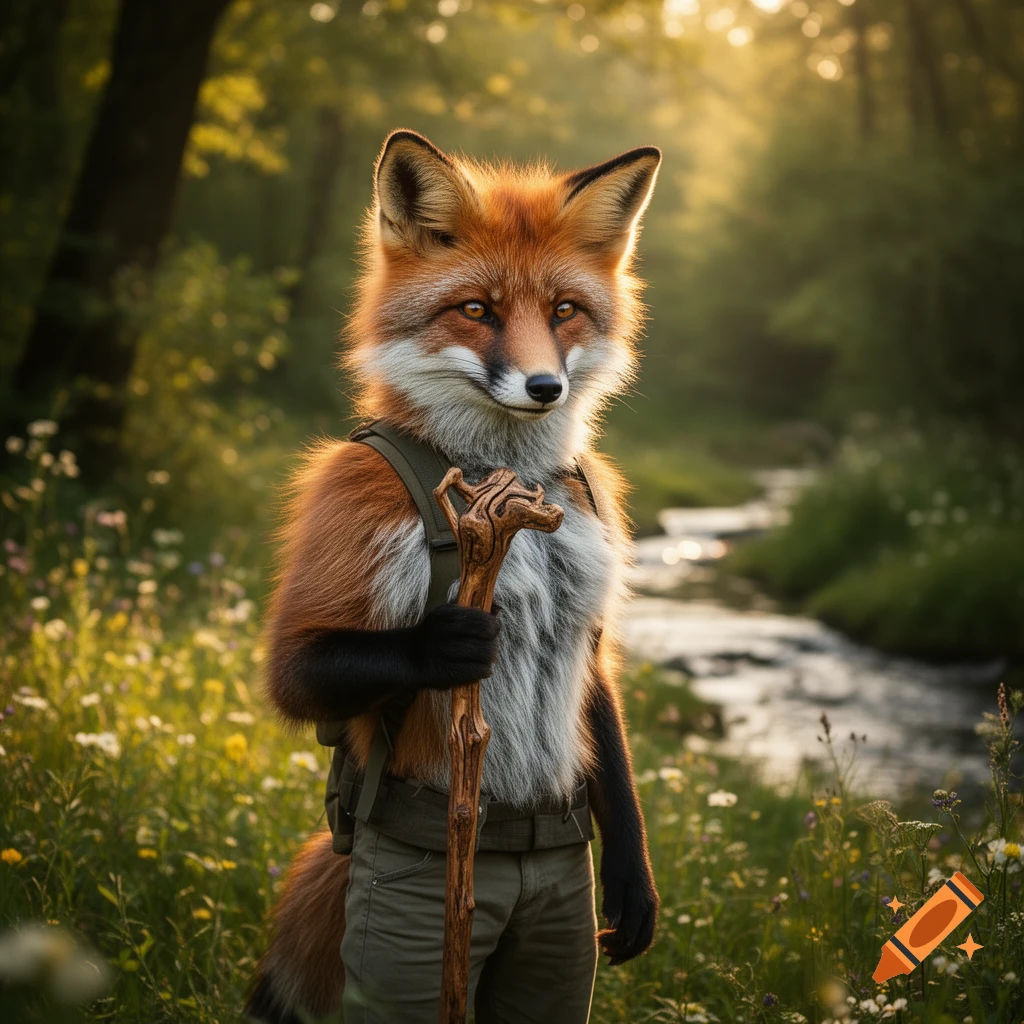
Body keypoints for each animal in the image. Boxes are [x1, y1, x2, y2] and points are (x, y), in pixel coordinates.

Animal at [245, 130, 662, 1024]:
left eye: (564, 310)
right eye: (478, 310)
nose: (545, 387)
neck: (506, 483)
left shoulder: (592, 626)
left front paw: (635, 887)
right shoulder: (345, 504)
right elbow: (296, 673)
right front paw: (446, 645)